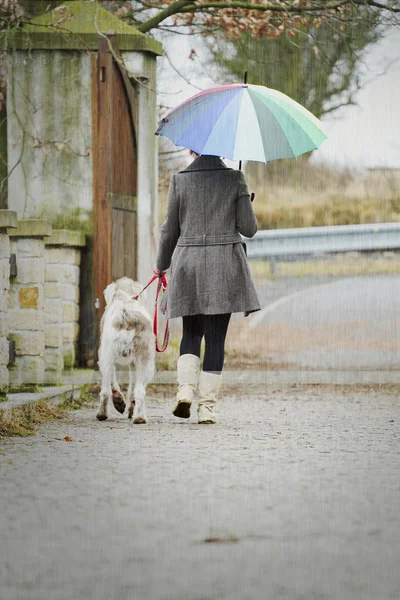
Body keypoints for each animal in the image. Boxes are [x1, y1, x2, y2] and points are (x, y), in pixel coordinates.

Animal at [95, 276, 155, 422]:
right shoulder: (131, 362)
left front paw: (119, 401)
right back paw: (139, 417)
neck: (124, 297)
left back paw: (103, 413)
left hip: (108, 355)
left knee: (106, 390)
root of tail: (127, 315)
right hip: (144, 360)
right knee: (138, 390)